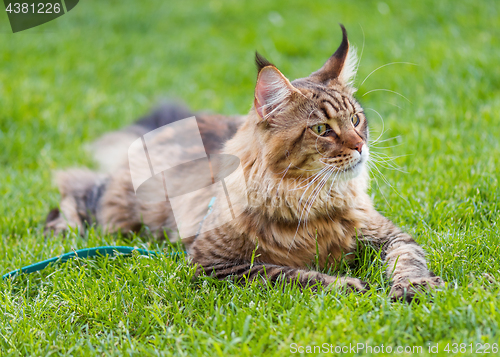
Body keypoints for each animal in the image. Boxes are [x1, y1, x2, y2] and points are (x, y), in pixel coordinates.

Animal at [47, 25, 444, 300]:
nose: (361, 146)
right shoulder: (214, 265)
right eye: (321, 129)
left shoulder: (388, 234)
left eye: (356, 119)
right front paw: (347, 284)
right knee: (74, 185)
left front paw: (414, 285)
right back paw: (63, 230)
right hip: (122, 212)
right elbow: (289, 274)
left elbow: (408, 257)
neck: (313, 202)